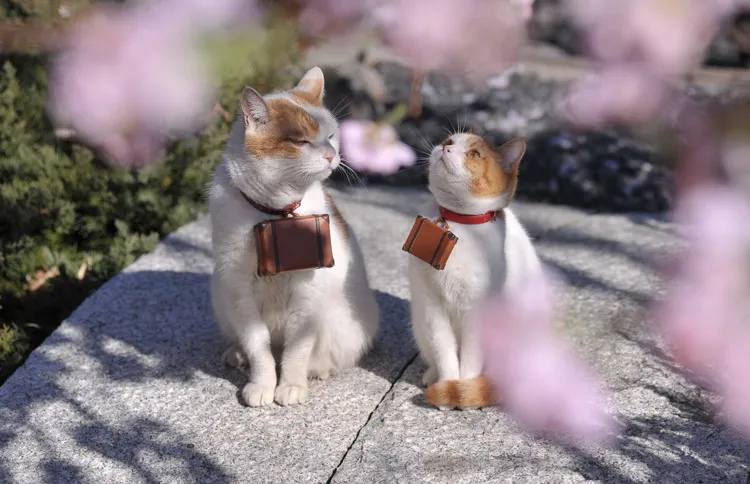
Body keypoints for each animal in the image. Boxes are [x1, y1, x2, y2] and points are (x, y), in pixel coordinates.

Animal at [209, 67, 382, 408]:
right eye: (301, 141)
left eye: (331, 136)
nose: (331, 155)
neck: (275, 213)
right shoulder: (238, 290)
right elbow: (257, 344)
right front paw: (262, 383)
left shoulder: (308, 294)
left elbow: (297, 349)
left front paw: (290, 384)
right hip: (220, 297)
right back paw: (237, 355)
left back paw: (319, 369)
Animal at [408, 131, 544, 408]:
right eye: (448, 141)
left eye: (474, 154)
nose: (446, 149)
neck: (459, 223)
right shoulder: (432, 307)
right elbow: (444, 350)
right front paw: (447, 386)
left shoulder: (478, 312)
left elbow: (471, 359)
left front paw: (463, 390)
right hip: (419, 322)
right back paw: (432, 376)